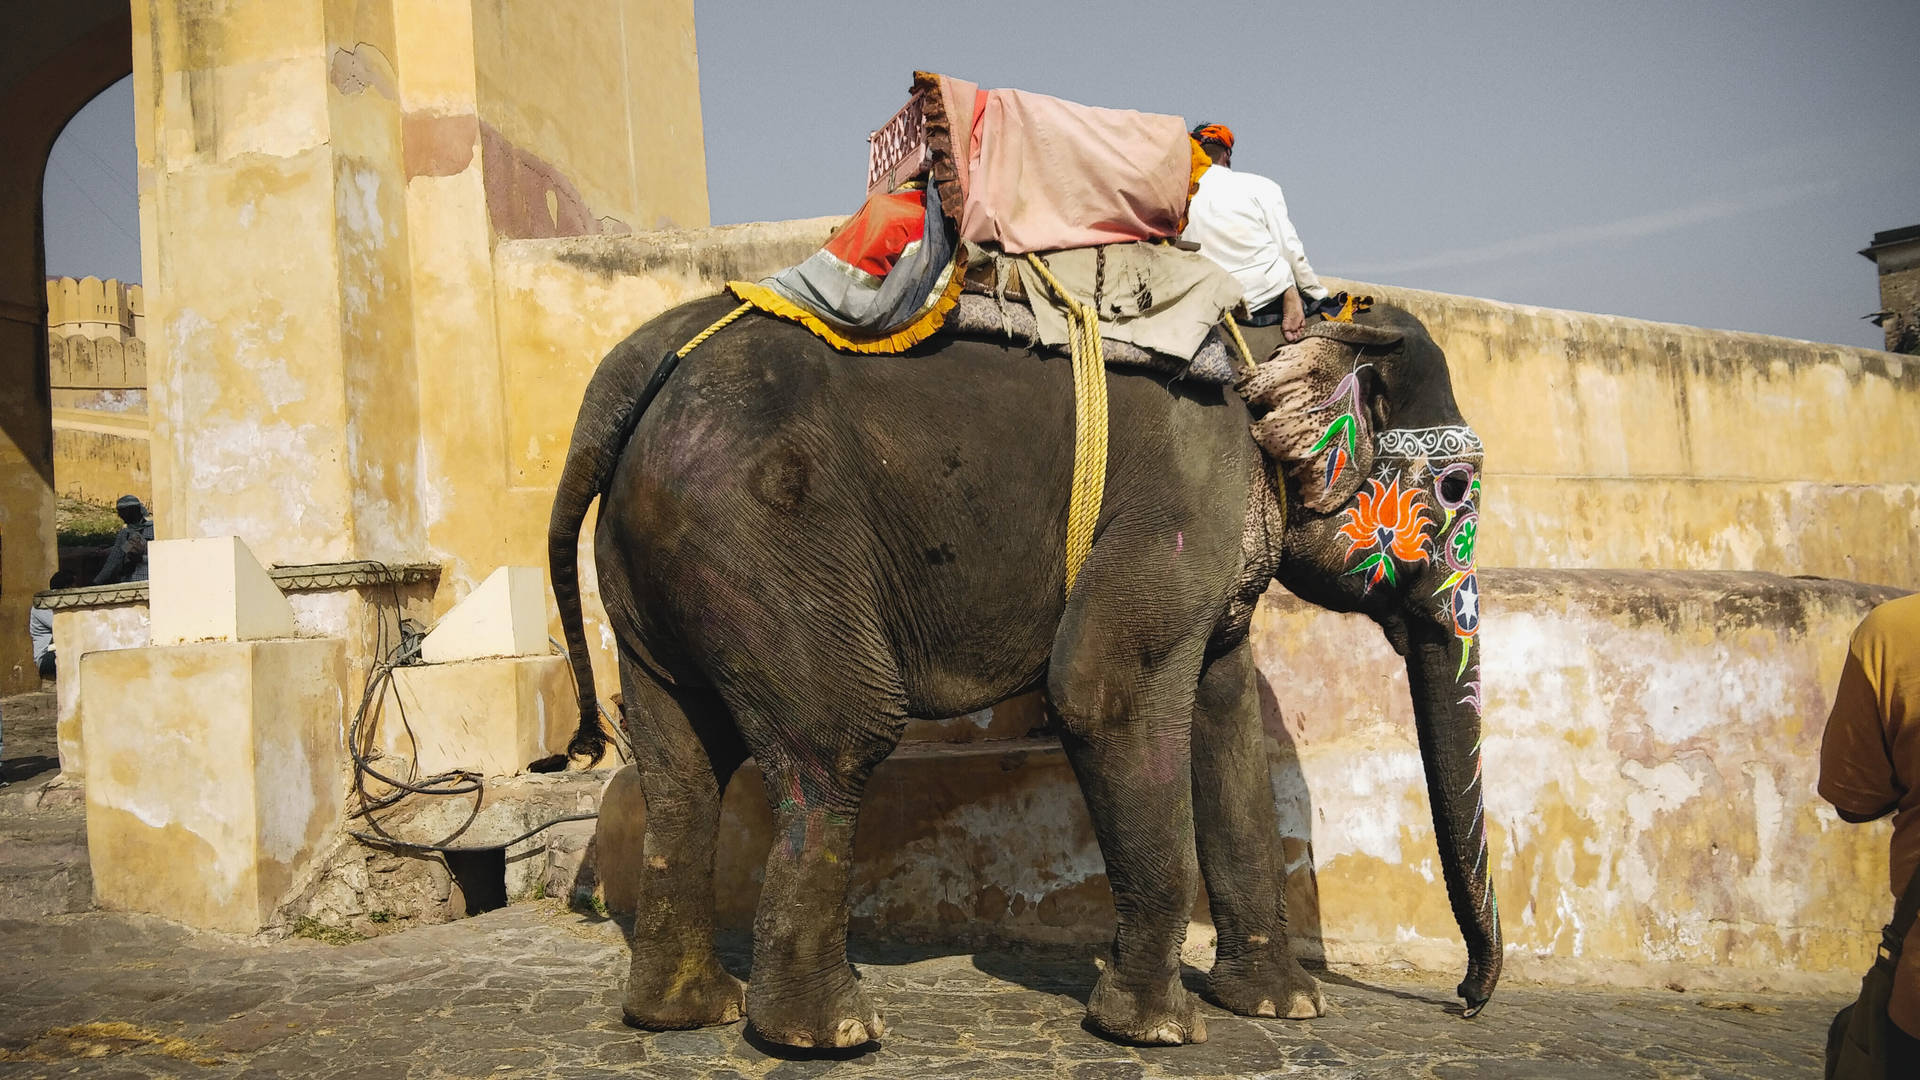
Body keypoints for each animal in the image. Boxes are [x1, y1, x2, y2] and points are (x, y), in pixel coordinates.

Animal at [549, 292, 1489, 1045]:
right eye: (1454, 493)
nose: (1467, 1000)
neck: (1270, 334)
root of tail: (628, 376)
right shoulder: (1186, 500)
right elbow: (1103, 691)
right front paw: (1156, 1032)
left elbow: (1225, 722)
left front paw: (1284, 1009)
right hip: (758, 535)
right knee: (839, 739)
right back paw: (831, 1036)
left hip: (660, 566)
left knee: (683, 764)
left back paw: (685, 1015)